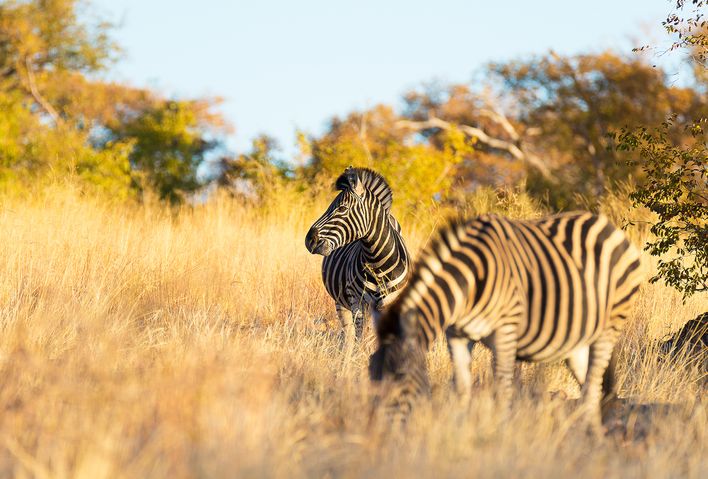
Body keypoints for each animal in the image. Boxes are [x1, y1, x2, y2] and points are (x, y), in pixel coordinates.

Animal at [305, 167, 410, 342]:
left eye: (342, 209)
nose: (309, 240)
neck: (377, 262)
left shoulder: (392, 303)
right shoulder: (357, 302)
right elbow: (360, 339)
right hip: (342, 302)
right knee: (348, 335)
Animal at [369, 212, 645, 429]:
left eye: (400, 377)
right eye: (371, 375)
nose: (380, 434)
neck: (469, 282)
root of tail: (608, 225)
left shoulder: (506, 330)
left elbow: (502, 388)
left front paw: (498, 436)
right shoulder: (457, 335)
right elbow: (461, 387)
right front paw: (459, 433)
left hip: (609, 326)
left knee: (594, 383)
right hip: (578, 340)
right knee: (592, 385)